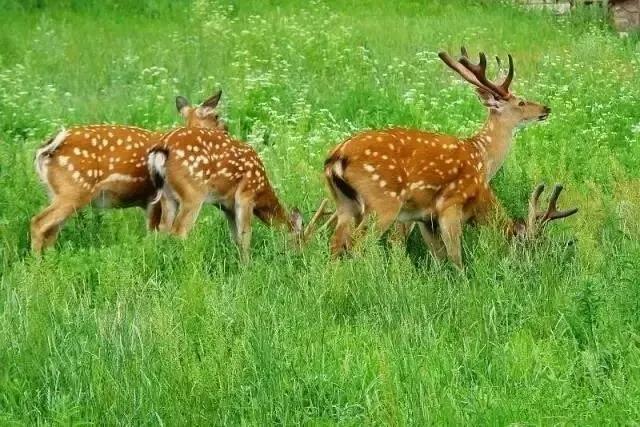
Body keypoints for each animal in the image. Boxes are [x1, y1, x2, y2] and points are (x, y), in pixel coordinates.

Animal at [32, 88, 229, 252]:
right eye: (216, 116)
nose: (227, 130)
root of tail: (48, 148)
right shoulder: (154, 199)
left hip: (57, 192)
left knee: (51, 230)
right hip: (74, 189)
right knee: (39, 223)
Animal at [322, 47, 576, 268]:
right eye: (521, 102)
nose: (545, 108)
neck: (481, 155)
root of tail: (336, 158)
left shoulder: (425, 218)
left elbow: (438, 255)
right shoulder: (448, 206)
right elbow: (453, 255)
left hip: (345, 203)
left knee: (336, 242)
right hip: (383, 201)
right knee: (357, 243)